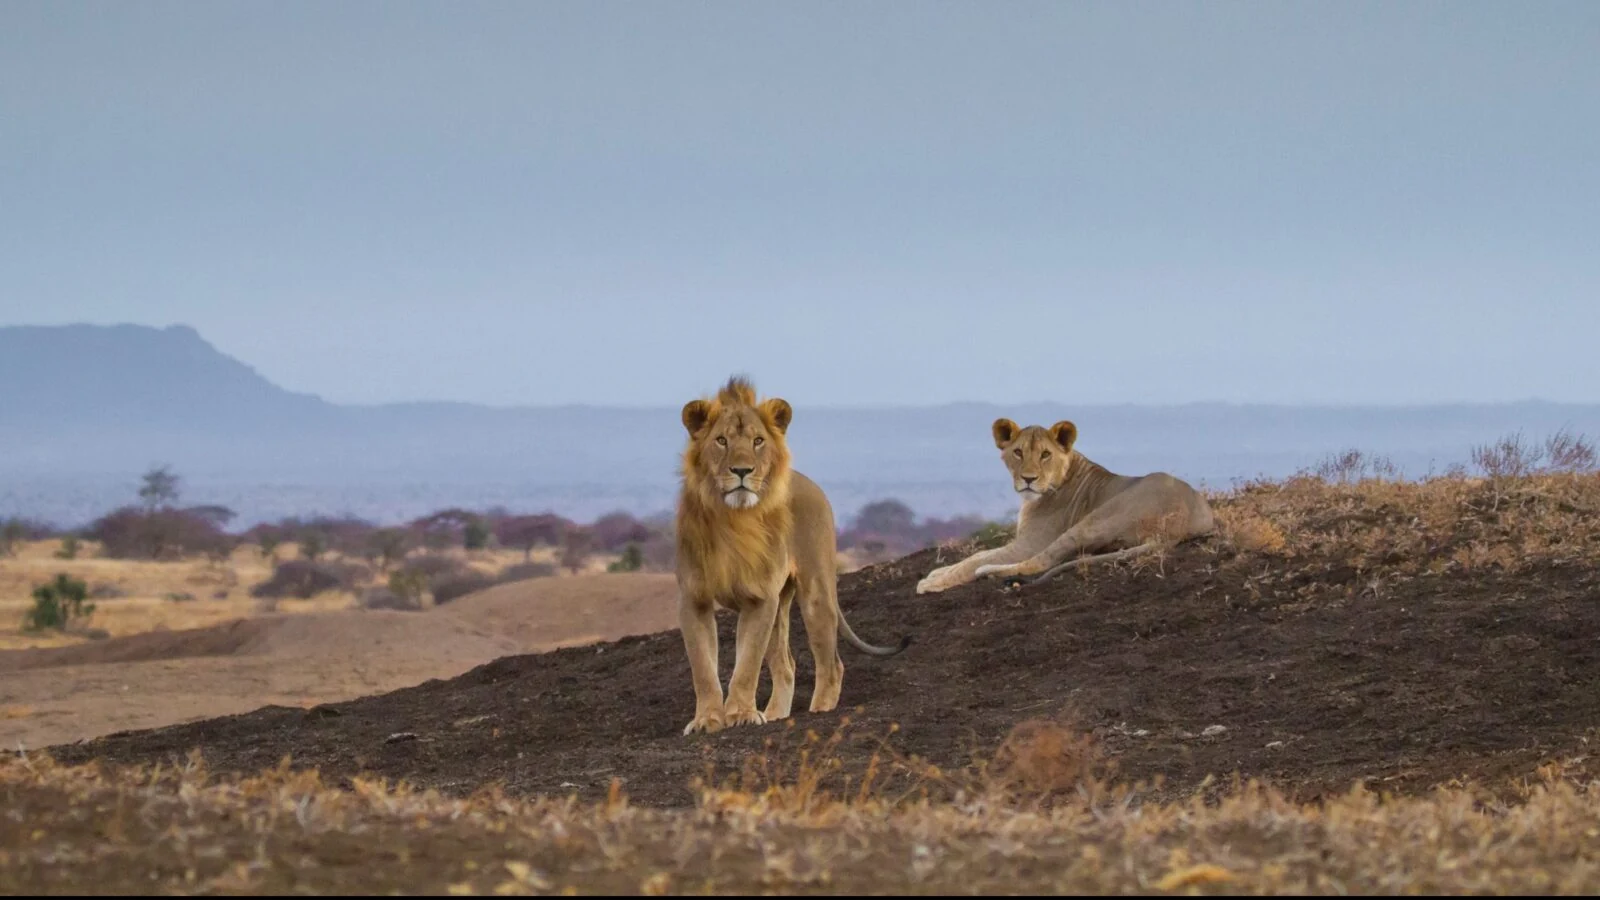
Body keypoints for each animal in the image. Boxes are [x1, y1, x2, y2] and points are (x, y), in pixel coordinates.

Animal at [675, 376, 909, 735]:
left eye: (758, 441)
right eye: (721, 440)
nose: (742, 470)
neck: (732, 520)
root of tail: (808, 482)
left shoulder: (759, 599)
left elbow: (747, 665)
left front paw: (741, 714)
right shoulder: (694, 599)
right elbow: (702, 668)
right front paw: (707, 720)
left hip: (815, 594)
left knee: (831, 664)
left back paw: (818, 712)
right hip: (781, 604)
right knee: (787, 665)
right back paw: (775, 715)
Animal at [915, 418, 1215, 594]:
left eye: (1045, 454)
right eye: (1018, 452)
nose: (1028, 479)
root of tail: (1179, 525)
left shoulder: (1029, 544)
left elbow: (974, 561)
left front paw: (933, 582)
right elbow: (975, 554)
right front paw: (938, 572)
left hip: (1093, 521)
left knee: (1041, 561)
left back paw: (988, 573)